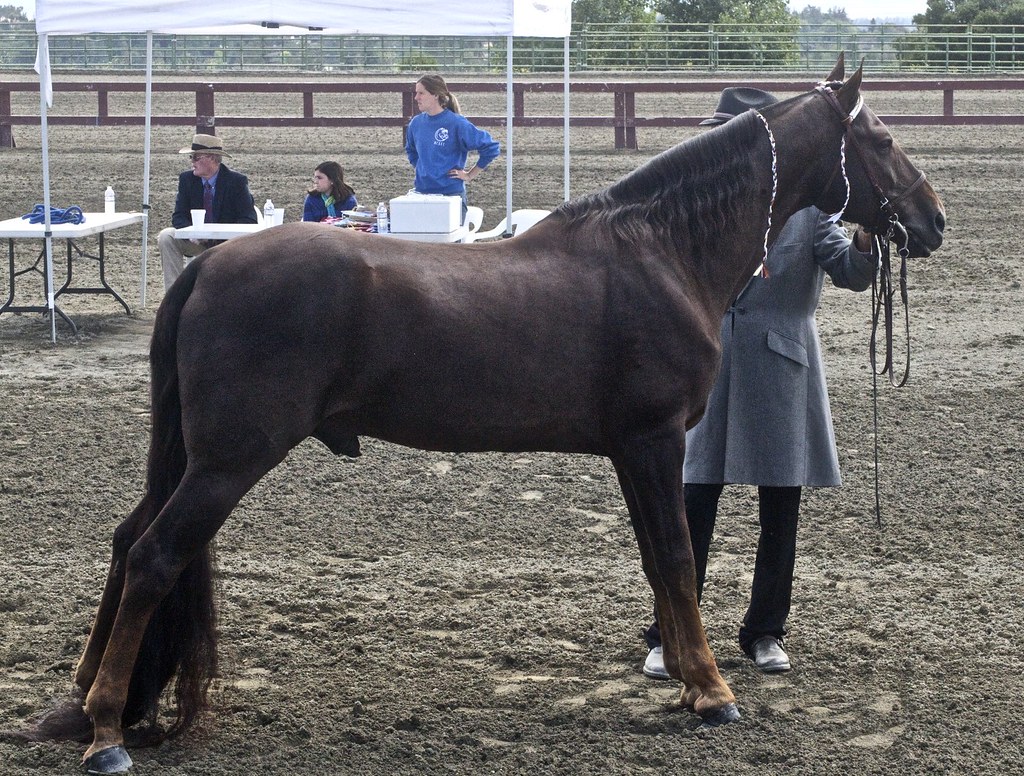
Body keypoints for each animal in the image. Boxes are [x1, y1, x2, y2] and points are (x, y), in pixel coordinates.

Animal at [22, 59, 944, 774]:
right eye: (883, 140)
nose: (931, 220)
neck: (660, 251)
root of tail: (206, 271)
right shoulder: (652, 442)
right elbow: (681, 559)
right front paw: (713, 690)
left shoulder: (632, 452)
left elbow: (659, 562)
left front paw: (688, 679)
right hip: (228, 460)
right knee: (152, 556)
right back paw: (105, 732)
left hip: (196, 455)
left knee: (125, 543)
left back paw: (83, 696)